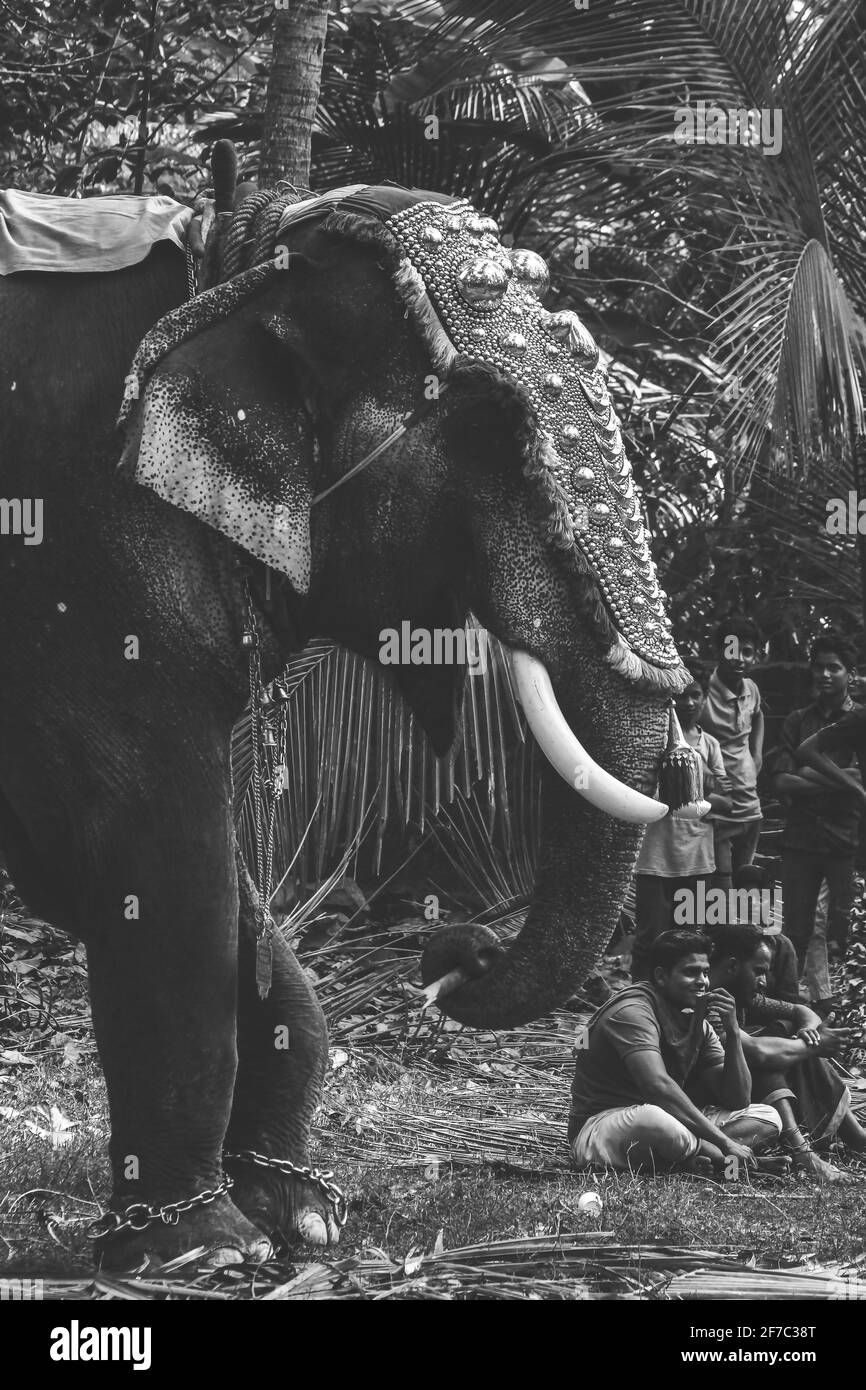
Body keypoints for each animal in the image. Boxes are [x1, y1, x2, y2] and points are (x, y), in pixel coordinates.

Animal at [0, 145, 689, 1270]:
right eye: (491, 429)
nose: (452, 955)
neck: (242, 251)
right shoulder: (84, 544)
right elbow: (158, 853)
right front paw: (204, 1251)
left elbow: (107, 867)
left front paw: (298, 1216)